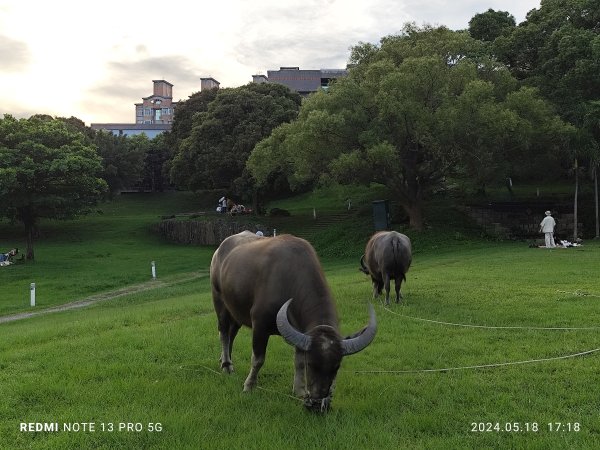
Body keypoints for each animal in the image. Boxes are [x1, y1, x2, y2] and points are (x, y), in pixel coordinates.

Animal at [211, 232, 376, 412]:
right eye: (312, 364)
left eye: (336, 367)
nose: (317, 405)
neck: (289, 279)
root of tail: (220, 249)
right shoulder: (259, 325)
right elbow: (258, 359)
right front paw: (249, 386)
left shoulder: (299, 331)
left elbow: (298, 362)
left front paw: (299, 390)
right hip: (219, 302)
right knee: (223, 333)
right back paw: (226, 365)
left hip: (236, 311)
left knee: (231, 333)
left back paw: (224, 360)